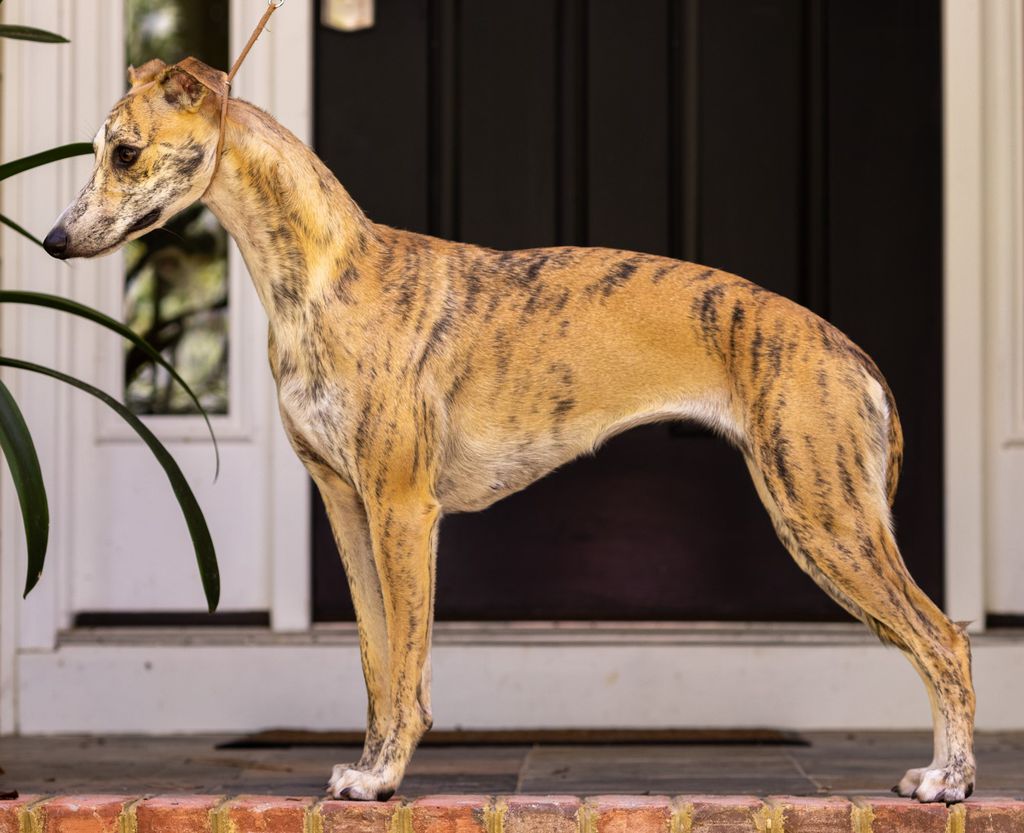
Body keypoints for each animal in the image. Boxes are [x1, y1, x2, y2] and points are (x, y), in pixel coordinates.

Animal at [43, 57, 976, 804]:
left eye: (124, 151)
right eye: (97, 149)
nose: (52, 240)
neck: (325, 274)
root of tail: (848, 352)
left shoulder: (405, 510)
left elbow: (409, 666)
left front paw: (384, 778)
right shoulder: (348, 507)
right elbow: (376, 660)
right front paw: (366, 768)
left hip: (825, 520)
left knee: (948, 640)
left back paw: (952, 780)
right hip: (829, 521)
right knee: (936, 640)